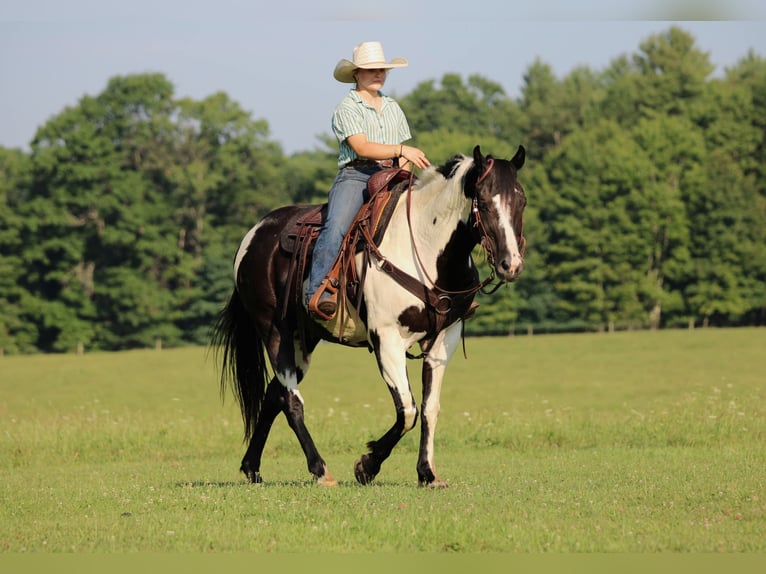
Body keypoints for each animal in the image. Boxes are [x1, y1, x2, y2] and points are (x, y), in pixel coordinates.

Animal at [211, 144, 527, 487]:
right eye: (484, 200)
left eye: (521, 200)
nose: (511, 264)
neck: (424, 247)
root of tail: (255, 234)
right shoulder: (387, 338)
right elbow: (407, 410)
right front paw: (367, 465)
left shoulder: (445, 338)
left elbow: (429, 408)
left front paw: (428, 474)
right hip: (274, 331)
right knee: (292, 401)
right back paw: (320, 470)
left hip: (302, 340)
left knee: (274, 395)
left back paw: (252, 467)